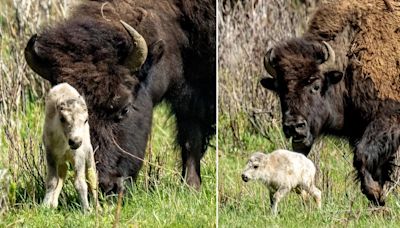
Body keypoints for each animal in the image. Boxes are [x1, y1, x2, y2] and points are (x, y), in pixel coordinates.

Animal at [25, 0, 216, 193]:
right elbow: (190, 138)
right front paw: (192, 187)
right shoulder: (188, 98)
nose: (107, 186)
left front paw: (191, 187)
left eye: (125, 109)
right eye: (64, 117)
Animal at [42, 83, 97, 211]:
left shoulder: (79, 156)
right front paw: (45, 205)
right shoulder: (50, 153)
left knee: (92, 176)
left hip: (89, 153)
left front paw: (86, 209)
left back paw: (99, 208)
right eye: (62, 118)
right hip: (61, 159)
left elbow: (80, 183)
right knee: (63, 171)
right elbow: (52, 180)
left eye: (86, 120)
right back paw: (53, 203)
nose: (75, 142)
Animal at [260, 0, 400, 207]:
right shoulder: (360, 130)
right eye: (280, 89)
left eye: (316, 85)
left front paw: (376, 194)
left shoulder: (386, 121)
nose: (294, 126)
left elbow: (362, 157)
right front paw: (378, 199)